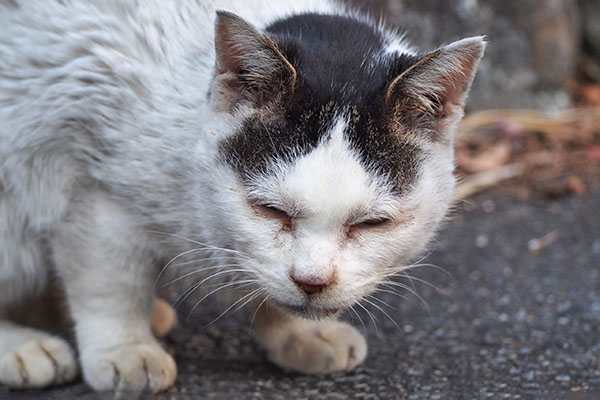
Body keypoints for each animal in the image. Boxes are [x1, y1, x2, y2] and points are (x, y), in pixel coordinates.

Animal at [0, 0, 486, 394]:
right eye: (270, 210)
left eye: (370, 223)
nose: (313, 281)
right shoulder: (95, 194)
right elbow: (111, 284)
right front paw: (124, 349)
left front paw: (300, 332)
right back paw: (25, 348)